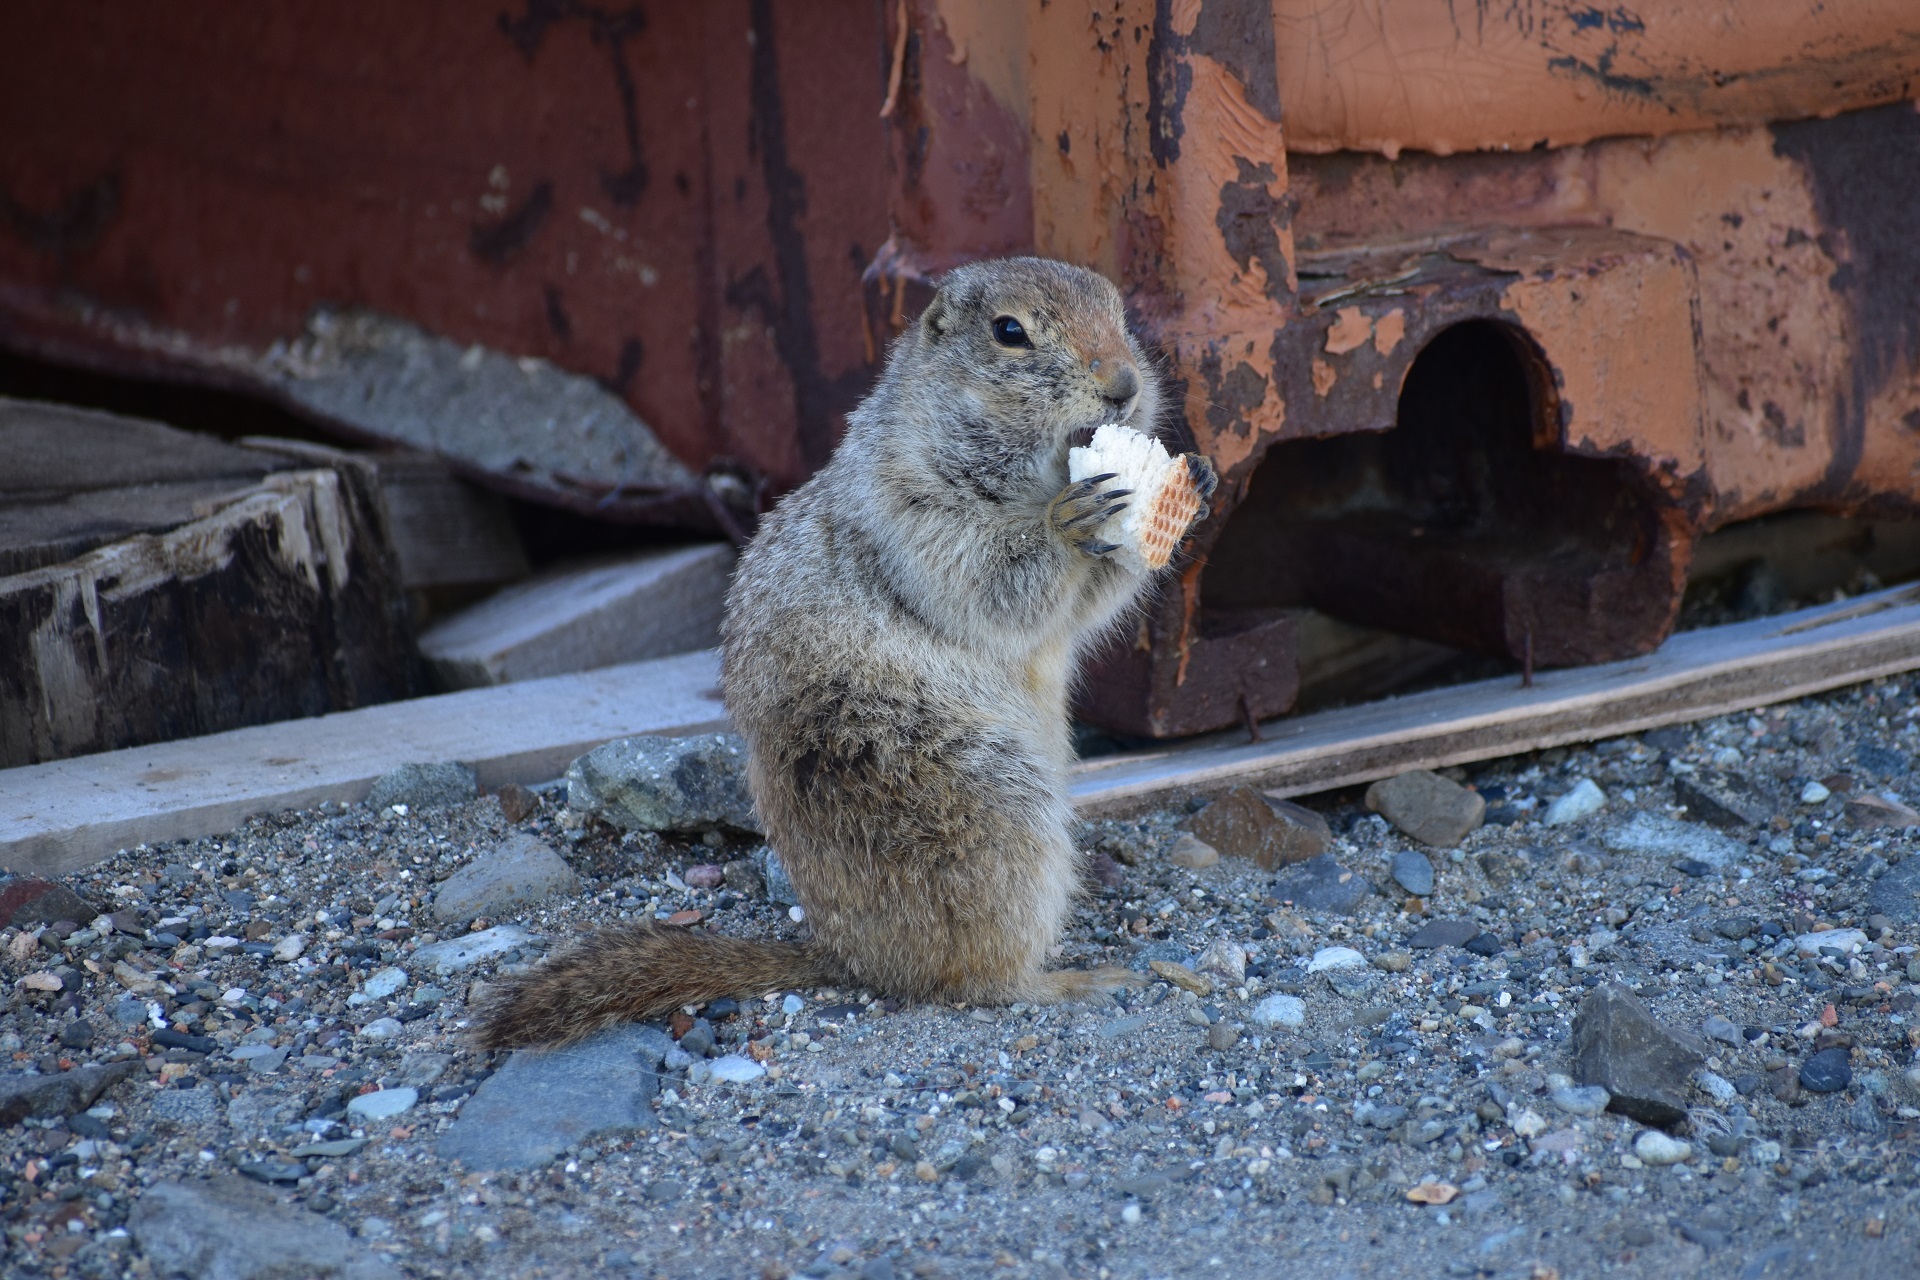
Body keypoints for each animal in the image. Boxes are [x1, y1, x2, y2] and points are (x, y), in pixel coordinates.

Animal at [487, 255, 1221, 1043]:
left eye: (1121, 314)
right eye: (1010, 332)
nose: (1125, 385)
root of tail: (851, 958)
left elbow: (1089, 601)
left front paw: (1198, 482)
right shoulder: (919, 517)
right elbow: (997, 582)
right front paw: (1070, 521)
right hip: (986, 807)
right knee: (976, 979)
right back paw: (1075, 981)